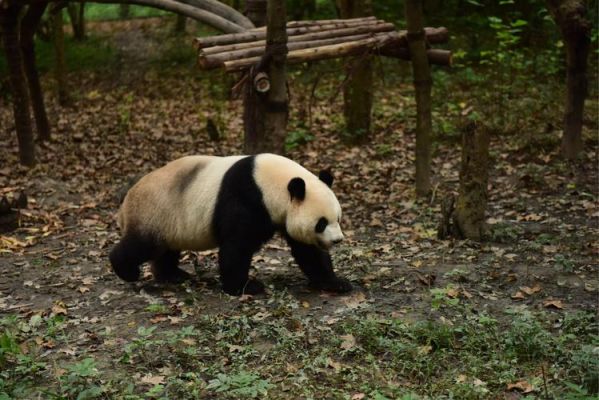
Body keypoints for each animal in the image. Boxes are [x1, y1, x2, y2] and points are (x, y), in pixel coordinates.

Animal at [109, 155, 352, 296]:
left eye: (338, 218)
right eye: (321, 223)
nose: (337, 240)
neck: (268, 180)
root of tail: (126, 200)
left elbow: (307, 250)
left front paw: (335, 283)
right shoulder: (246, 198)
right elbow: (237, 246)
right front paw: (245, 287)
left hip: (168, 221)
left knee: (165, 250)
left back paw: (172, 274)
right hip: (154, 213)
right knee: (141, 245)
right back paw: (128, 271)